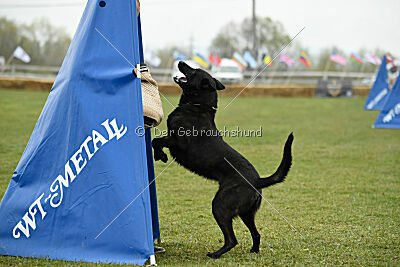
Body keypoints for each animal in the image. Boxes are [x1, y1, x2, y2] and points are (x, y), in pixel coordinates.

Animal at [152, 61, 292, 260]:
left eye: (194, 70)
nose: (180, 62)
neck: (197, 106)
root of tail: (257, 181)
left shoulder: (177, 141)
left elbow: (156, 141)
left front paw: (160, 155)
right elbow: (156, 141)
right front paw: (160, 155)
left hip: (220, 206)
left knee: (232, 240)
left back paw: (215, 254)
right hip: (246, 214)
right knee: (256, 234)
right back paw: (253, 250)